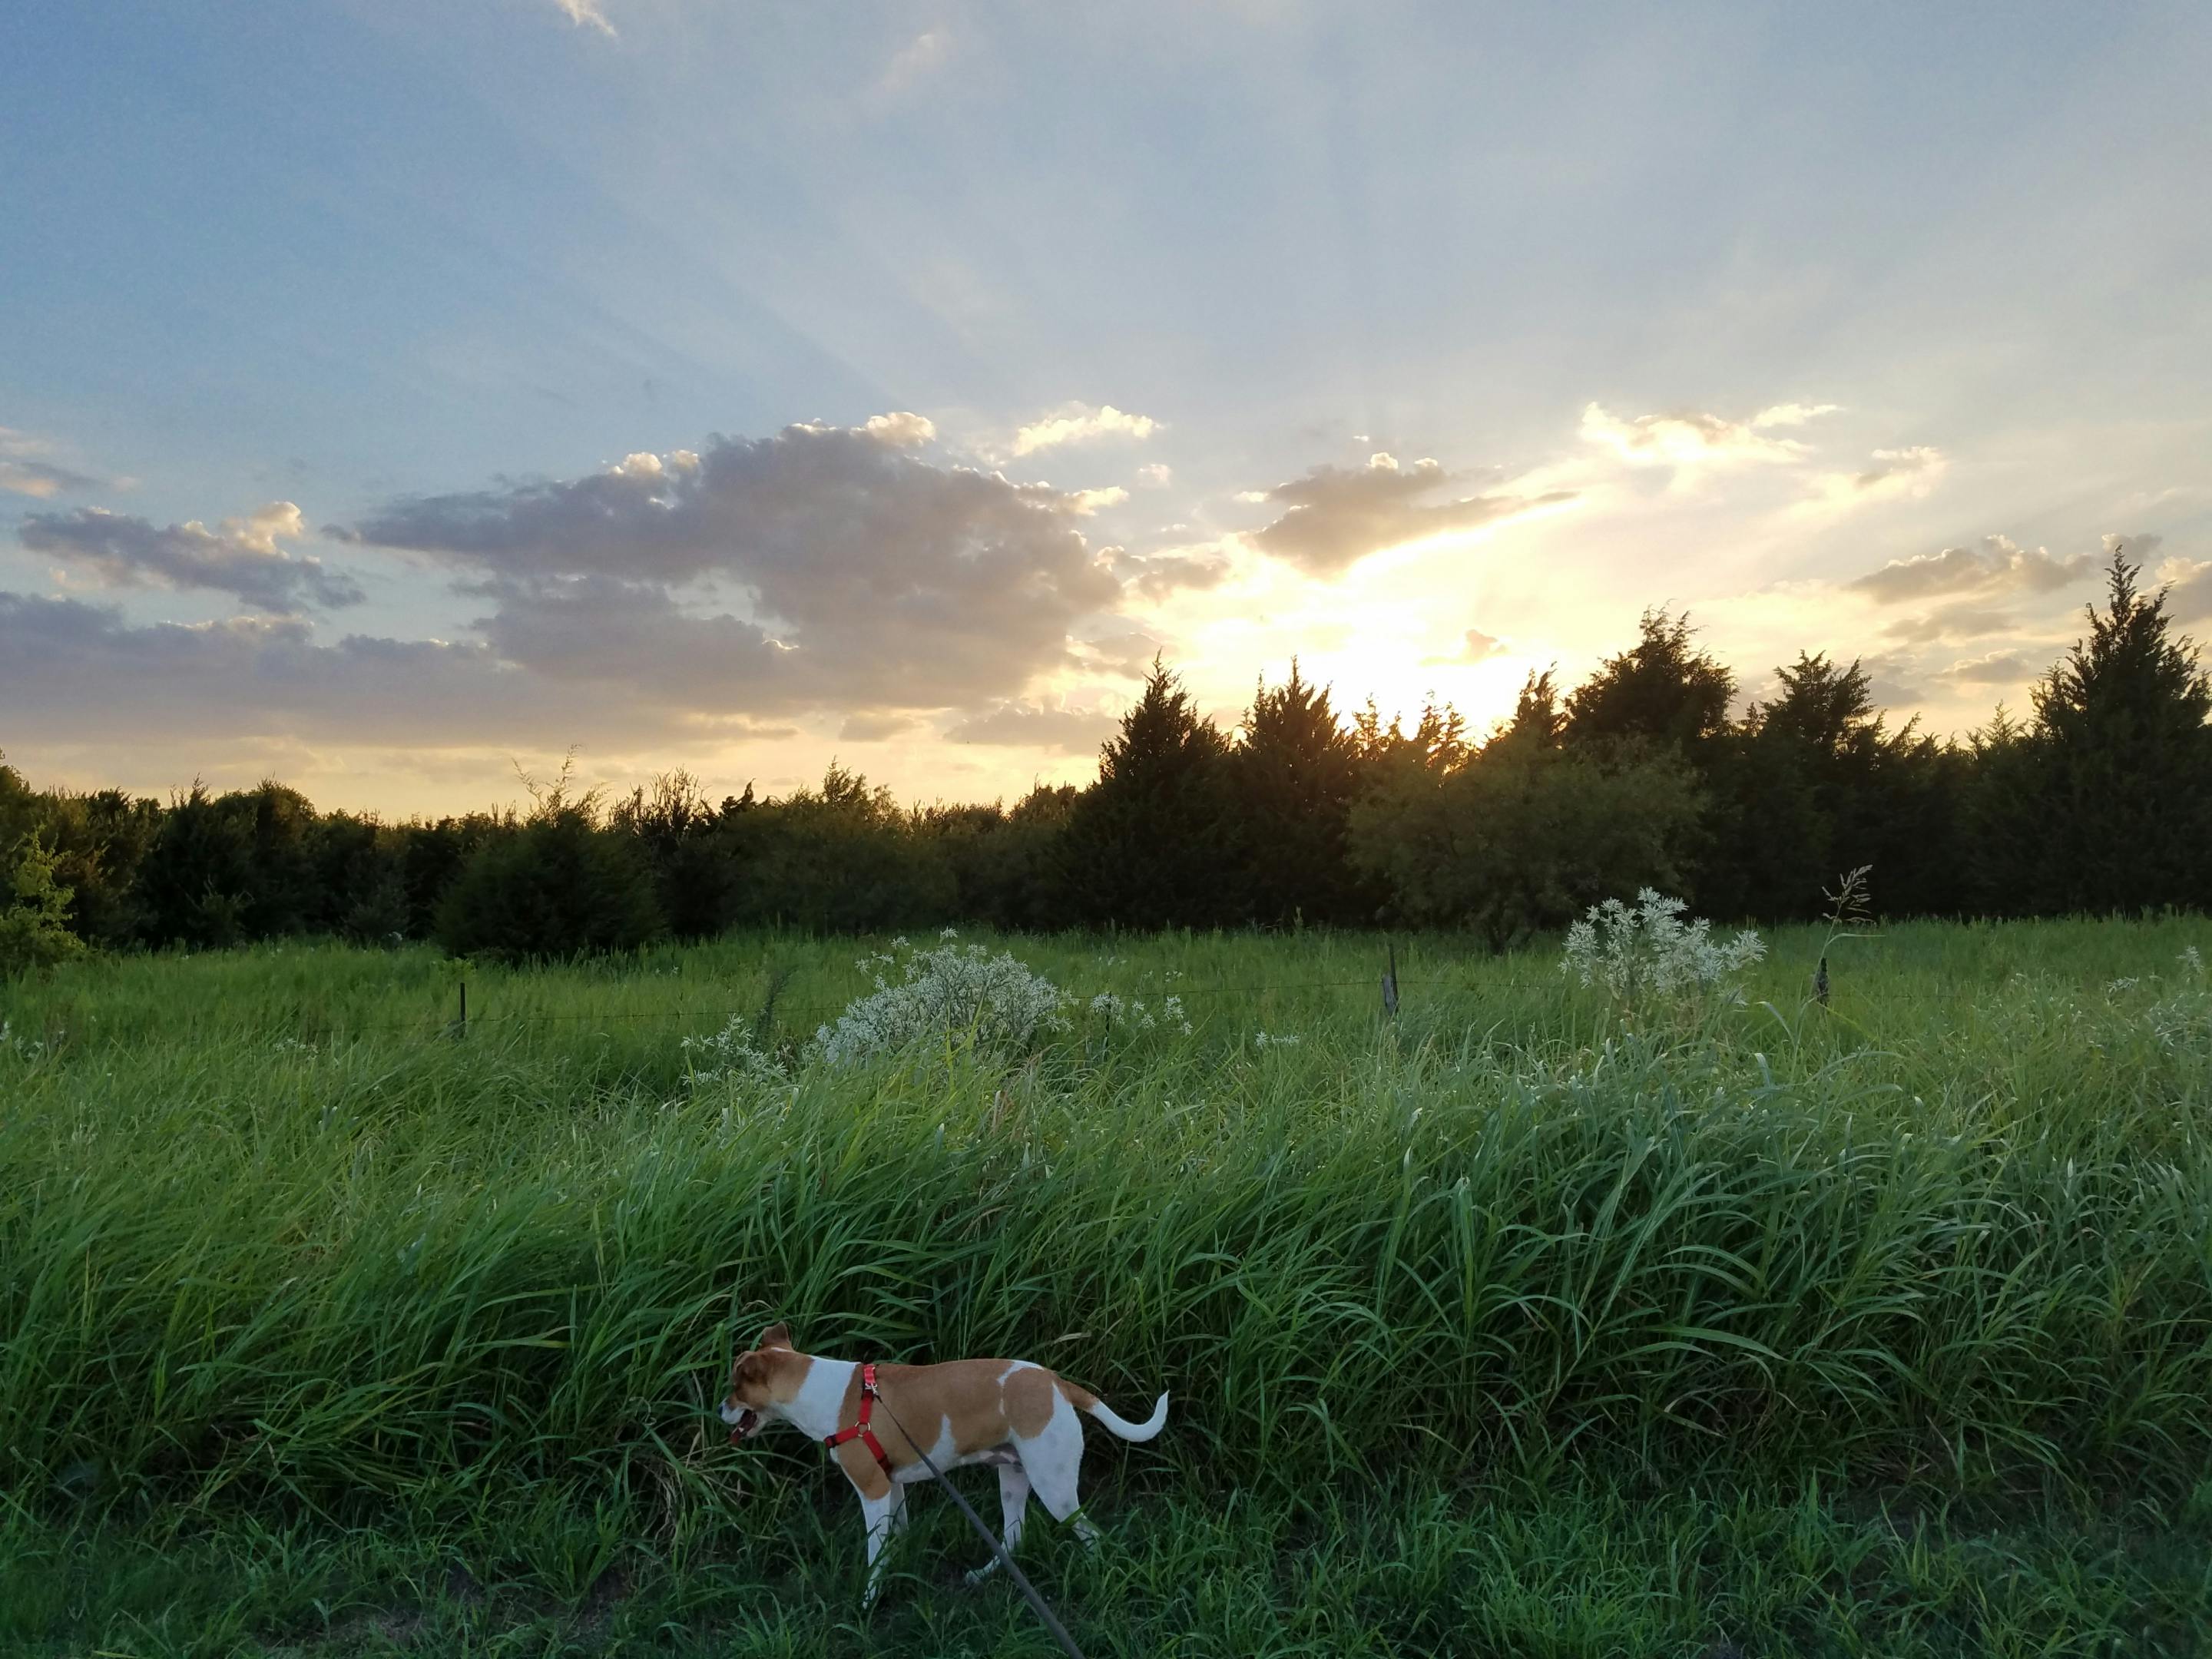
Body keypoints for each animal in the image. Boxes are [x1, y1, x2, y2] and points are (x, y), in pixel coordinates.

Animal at [725, 1327, 1177, 1610]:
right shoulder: (892, 1485)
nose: (718, 1409)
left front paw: (869, 1599)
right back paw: (984, 1575)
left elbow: (875, 1552)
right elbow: (897, 1537)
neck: (820, 1391)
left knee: (1092, 1536)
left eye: (734, 1387)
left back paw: (1095, 1573)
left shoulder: (872, 1489)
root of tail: (1057, 1383)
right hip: (1014, 1478)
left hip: (1056, 1488)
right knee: (1015, 1536)